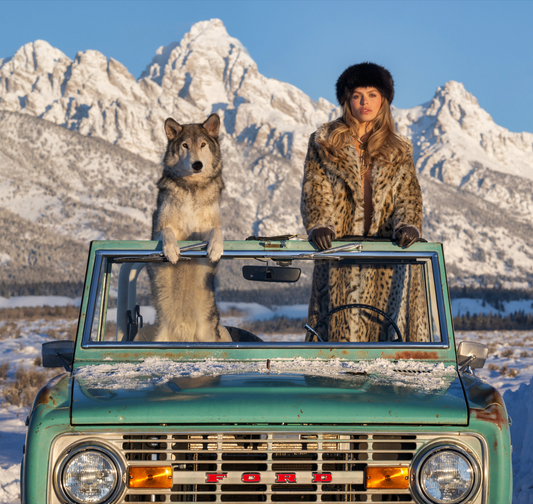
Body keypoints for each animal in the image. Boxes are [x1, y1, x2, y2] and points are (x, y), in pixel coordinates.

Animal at [147, 114, 230, 342]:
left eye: (202, 145)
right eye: (185, 145)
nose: (197, 164)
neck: (192, 188)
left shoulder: (208, 227)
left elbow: (217, 231)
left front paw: (215, 249)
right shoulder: (158, 228)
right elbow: (167, 232)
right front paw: (172, 251)